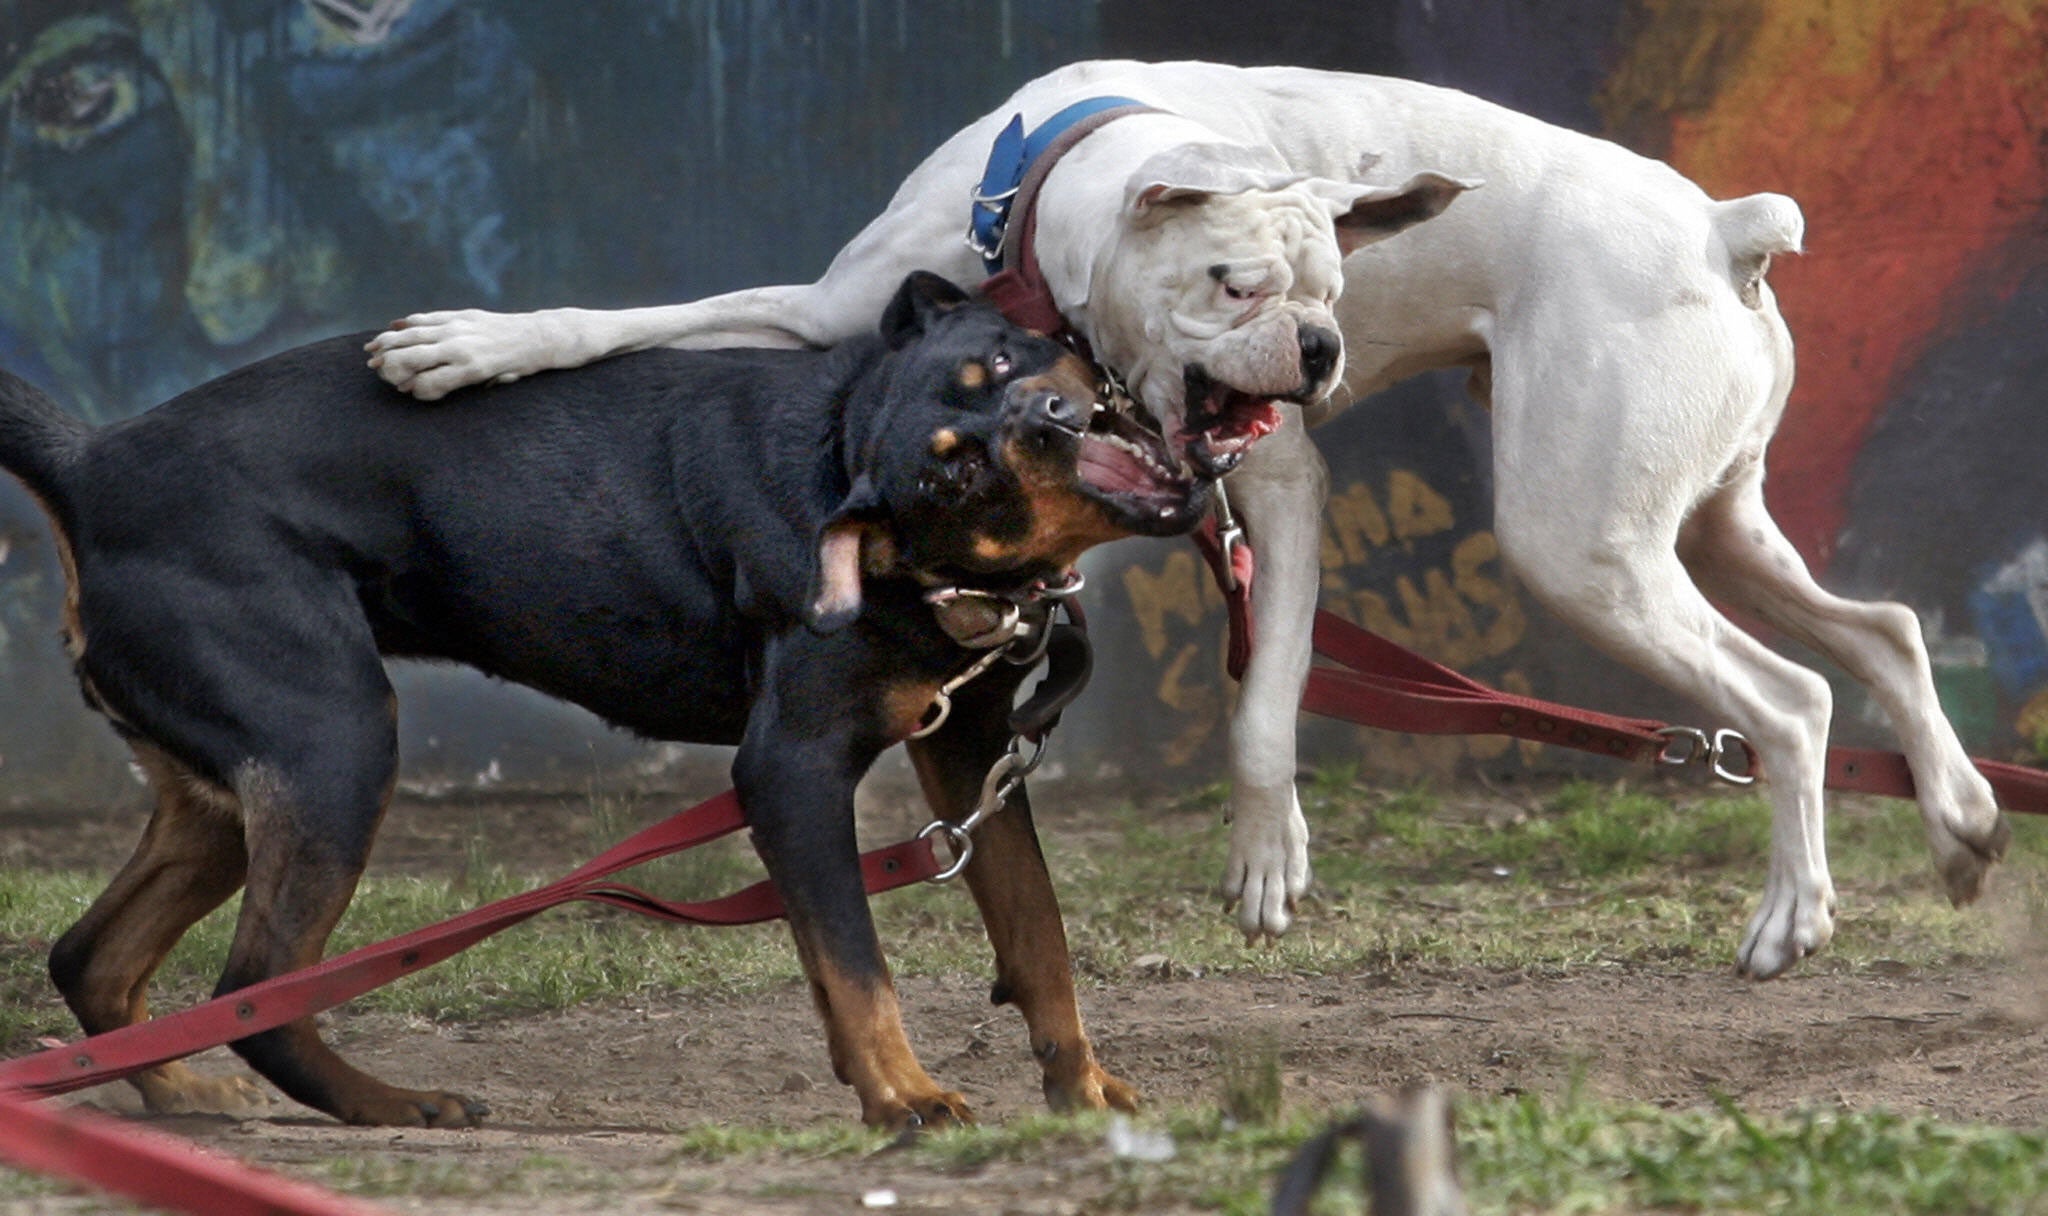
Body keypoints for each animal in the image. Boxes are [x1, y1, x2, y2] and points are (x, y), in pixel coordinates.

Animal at [364, 61, 1998, 978]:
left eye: (1334, 289)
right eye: (1236, 282)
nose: (1323, 351)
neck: (1043, 223)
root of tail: (1723, 228)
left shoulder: (1275, 487)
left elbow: (1263, 700)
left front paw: (1268, 855)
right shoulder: (822, 315)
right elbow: (638, 319)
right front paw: (469, 347)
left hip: (1585, 546)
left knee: (1789, 702)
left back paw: (1794, 919)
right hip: (1702, 526)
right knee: (1880, 630)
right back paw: (1964, 820)